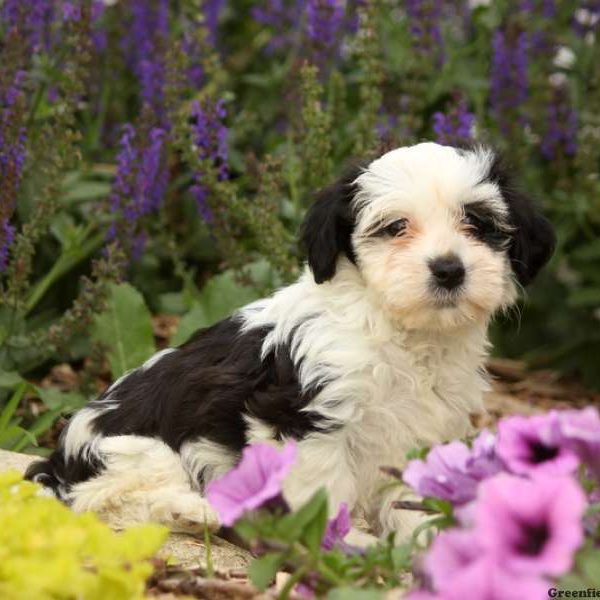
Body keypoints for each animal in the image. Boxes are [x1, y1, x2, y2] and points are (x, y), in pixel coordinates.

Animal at [27, 143, 552, 540]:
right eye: (395, 227)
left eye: (477, 224)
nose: (448, 269)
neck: (396, 329)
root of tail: (58, 459)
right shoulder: (303, 415)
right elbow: (323, 490)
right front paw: (346, 543)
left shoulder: (419, 431)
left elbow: (409, 494)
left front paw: (422, 542)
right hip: (136, 449)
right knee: (101, 501)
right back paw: (193, 511)